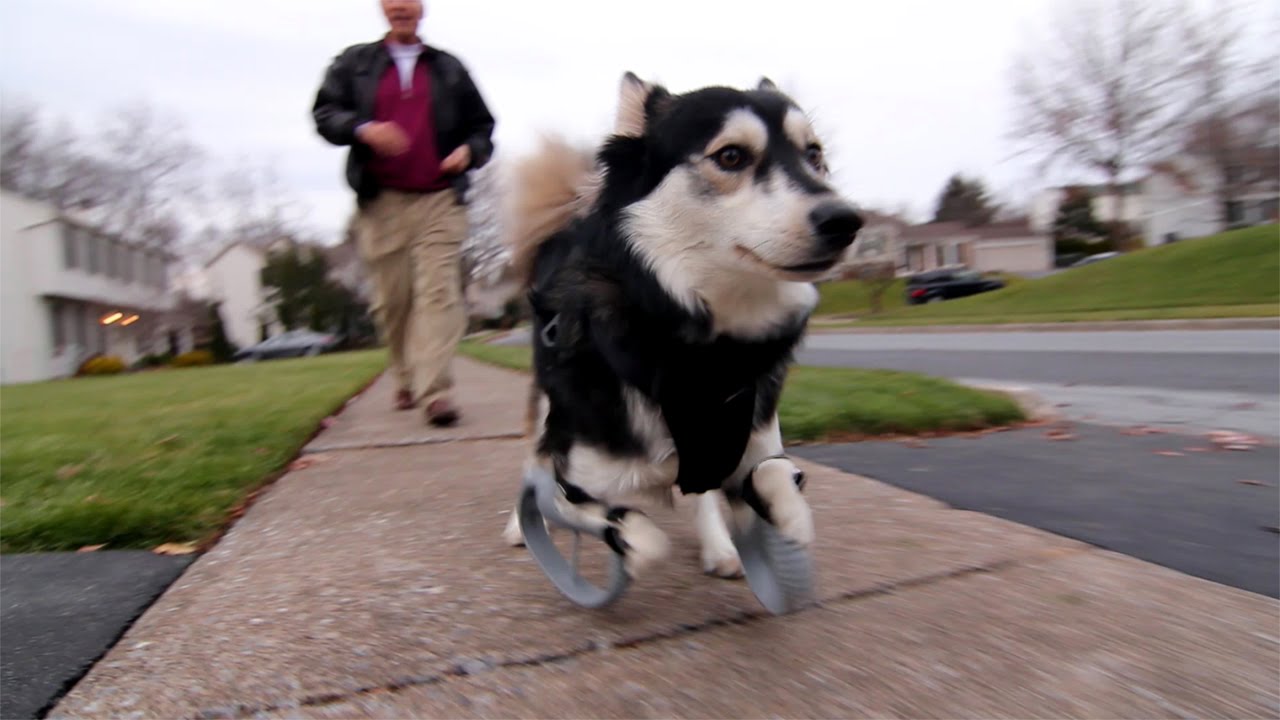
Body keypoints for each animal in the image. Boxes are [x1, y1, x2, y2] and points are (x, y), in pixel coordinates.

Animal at [494, 70, 865, 579]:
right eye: (731, 156)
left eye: (814, 154)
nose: (846, 221)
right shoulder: (572, 479)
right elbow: (640, 535)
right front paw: (624, 544)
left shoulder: (747, 442)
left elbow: (774, 475)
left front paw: (785, 514)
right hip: (549, 405)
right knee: (532, 461)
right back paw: (519, 525)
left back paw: (720, 545)